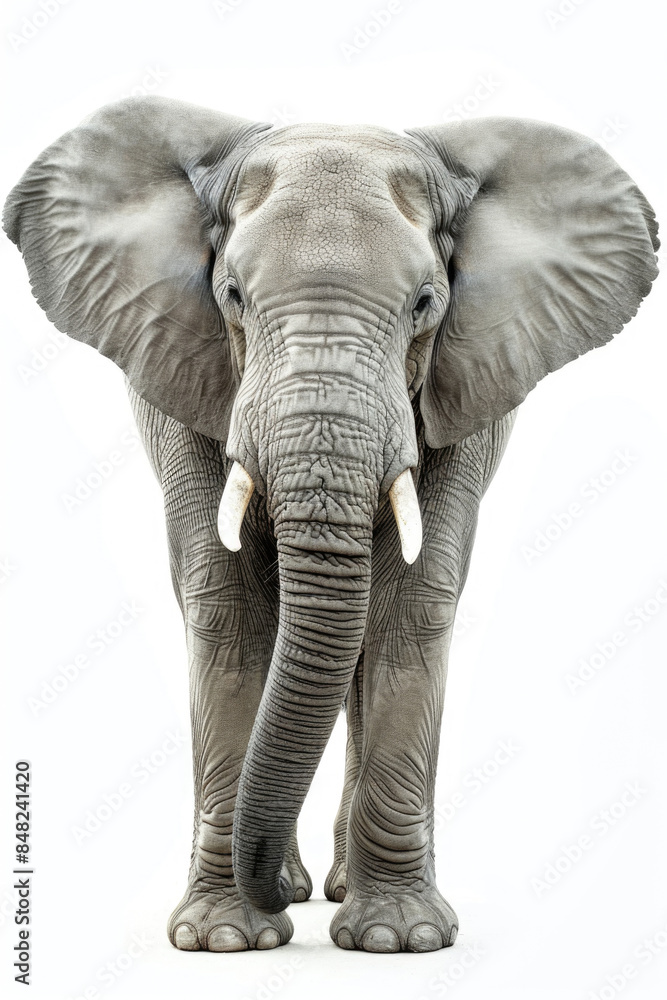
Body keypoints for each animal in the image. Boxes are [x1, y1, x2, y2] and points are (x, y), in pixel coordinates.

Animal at [4, 97, 658, 955]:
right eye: (232, 295)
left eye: (424, 303)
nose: (273, 897)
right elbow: (227, 607)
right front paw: (224, 940)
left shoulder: (462, 387)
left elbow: (409, 607)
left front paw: (399, 940)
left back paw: (342, 892)